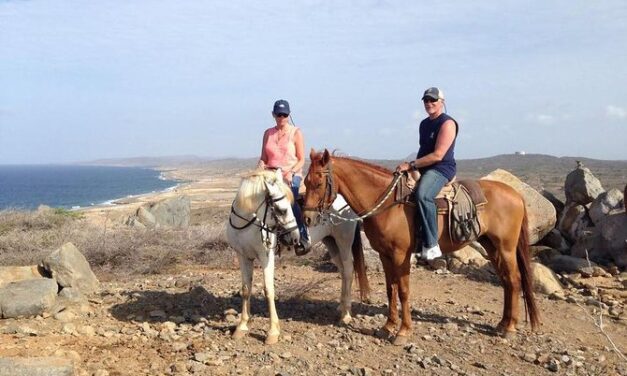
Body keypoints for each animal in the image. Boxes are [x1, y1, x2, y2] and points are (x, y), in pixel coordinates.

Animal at [228, 170, 370, 344]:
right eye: (281, 210)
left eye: (289, 206)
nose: (295, 238)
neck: (246, 225)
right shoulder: (243, 256)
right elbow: (245, 290)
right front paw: (241, 327)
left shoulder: (266, 257)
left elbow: (268, 290)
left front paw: (273, 332)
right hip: (331, 243)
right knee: (343, 271)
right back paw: (341, 306)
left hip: (344, 241)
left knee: (349, 269)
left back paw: (346, 314)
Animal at [304, 149, 540, 344]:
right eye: (306, 182)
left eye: (318, 183)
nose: (307, 218)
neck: (388, 203)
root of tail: (516, 194)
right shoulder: (384, 255)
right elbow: (390, 289)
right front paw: (387, 326)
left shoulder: (401, 255)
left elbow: (403, 291)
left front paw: (403, 331)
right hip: (491, 246)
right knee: (507, 282)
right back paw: (502, 324)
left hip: (506, 248)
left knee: (514, 280)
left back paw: (510, 328)